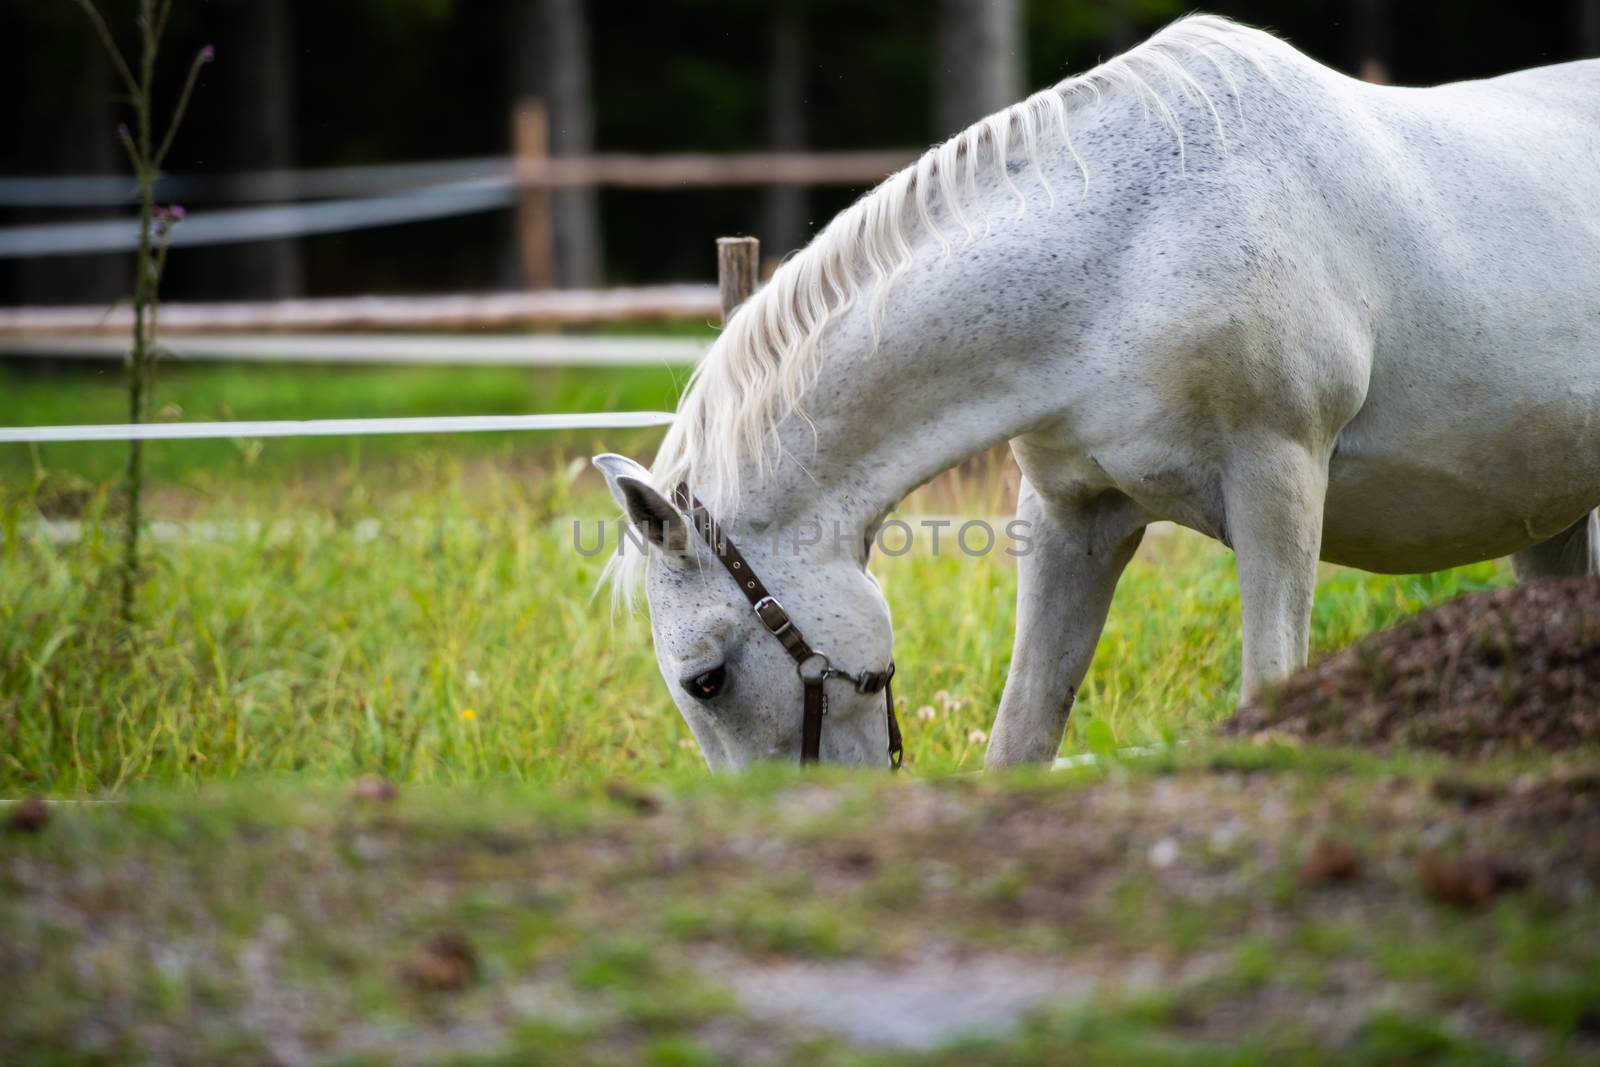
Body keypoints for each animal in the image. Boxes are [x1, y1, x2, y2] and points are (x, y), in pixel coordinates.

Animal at [595, 14, 1600, 767]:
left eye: (708, 679)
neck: (1134, 246)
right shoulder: (1072, 515)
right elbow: (1021, 738)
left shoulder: (1279, 487)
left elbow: (1267, 689)